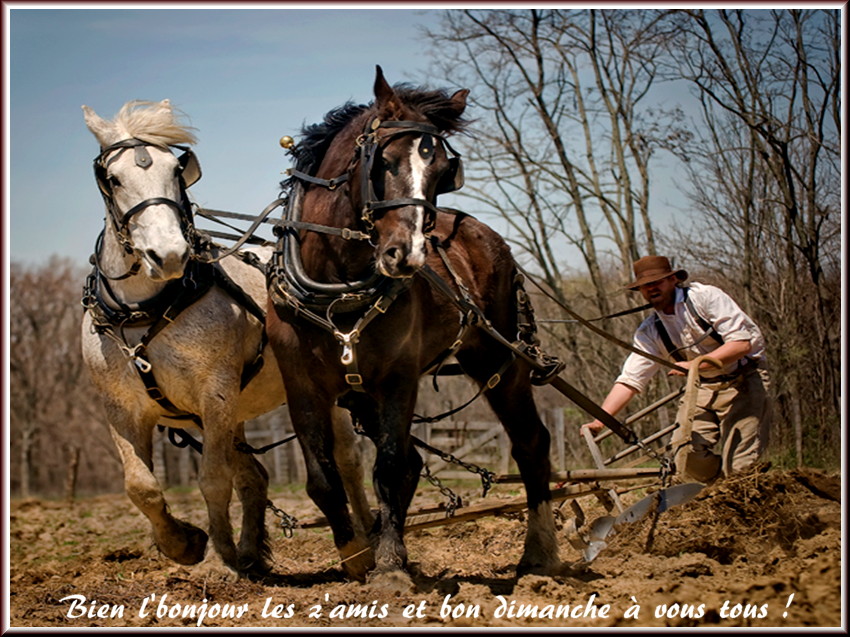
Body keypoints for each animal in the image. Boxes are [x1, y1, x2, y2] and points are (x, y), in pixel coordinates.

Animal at [82, 98, 372, 576]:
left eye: (176, 170)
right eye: (114, 178)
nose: (169, 255)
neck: (146, 309)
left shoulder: (214, 395)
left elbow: (213, 480)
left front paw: (220, 561)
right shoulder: (120, 408)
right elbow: (141, 486)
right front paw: (184, 543)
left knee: (348, 461)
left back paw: (365, 540)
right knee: (254, 476)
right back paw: (253, 552)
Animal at [270, 67, 564, 584]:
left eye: (445, 170)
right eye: (383, 162)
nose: (407, 255)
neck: (337, 285)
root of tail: (487, 236)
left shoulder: (399, 379)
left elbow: (387, 470)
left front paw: (388, 567)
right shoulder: (302, 386)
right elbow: (323, 481)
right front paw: (357, 558)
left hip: (499, 360)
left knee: (530, 442)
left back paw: (540, 551)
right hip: (361, 397)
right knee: (413, 462)